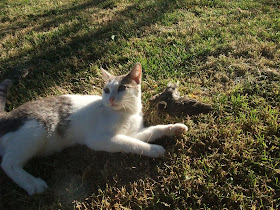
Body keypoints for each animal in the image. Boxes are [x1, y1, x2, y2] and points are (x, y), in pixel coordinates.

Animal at [0, 63, 188, 196]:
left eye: (122, 88)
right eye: (106, 90)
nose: (110, 99)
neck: (126, 113)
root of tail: (7, 115)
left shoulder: (134, 132)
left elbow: (150, 132)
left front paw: (175, 128)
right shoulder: (100, 140)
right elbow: (130, 143)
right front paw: (154, 149)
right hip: (36, 128)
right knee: (8, 163)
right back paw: (32, 184)